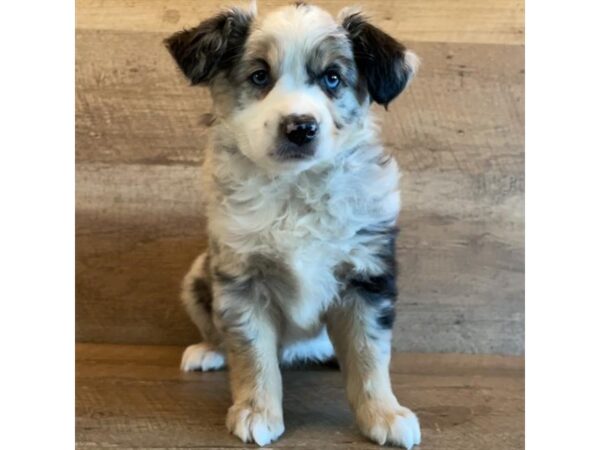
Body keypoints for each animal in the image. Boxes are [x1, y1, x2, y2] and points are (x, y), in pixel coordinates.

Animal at [164, 1, 418, 448]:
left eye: (332, 78)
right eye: (259, 76)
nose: (300, 127)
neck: (296, 188)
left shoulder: (368, 275)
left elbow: (369, 355)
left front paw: (385, 415)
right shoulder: (242, 279)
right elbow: (253, 355)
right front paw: (256, 411)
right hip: (197, 275)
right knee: (220, 332)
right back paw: (209, 351)